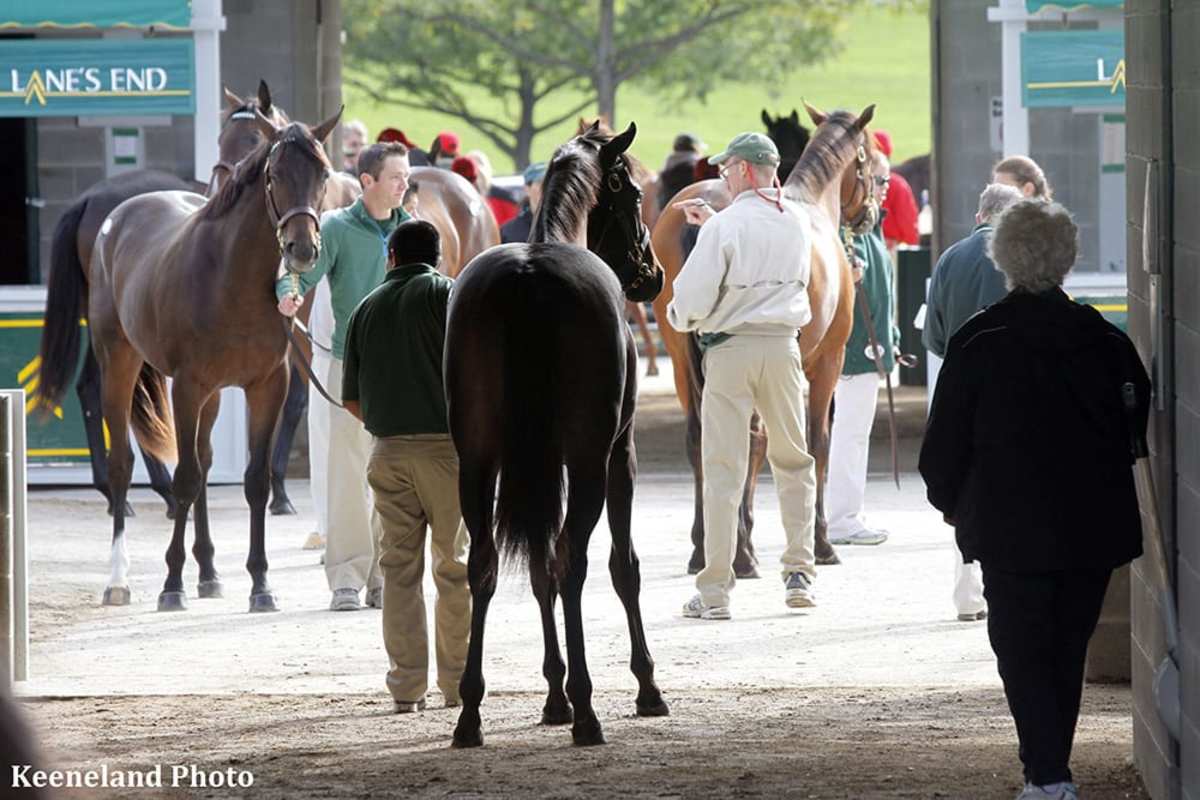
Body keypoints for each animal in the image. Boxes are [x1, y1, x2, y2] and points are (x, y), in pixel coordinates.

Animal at [446, 122, 667, 748]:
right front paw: (644, 686)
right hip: (590, 462)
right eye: (634, 195)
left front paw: (553, 695)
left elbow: (537, 565)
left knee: (486, 563)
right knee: (574, 559)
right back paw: (589, 709)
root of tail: (528, 279)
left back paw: (471, 712)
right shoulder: (618, 455)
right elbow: (623, 567)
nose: (652, 273)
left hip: (478, 462)